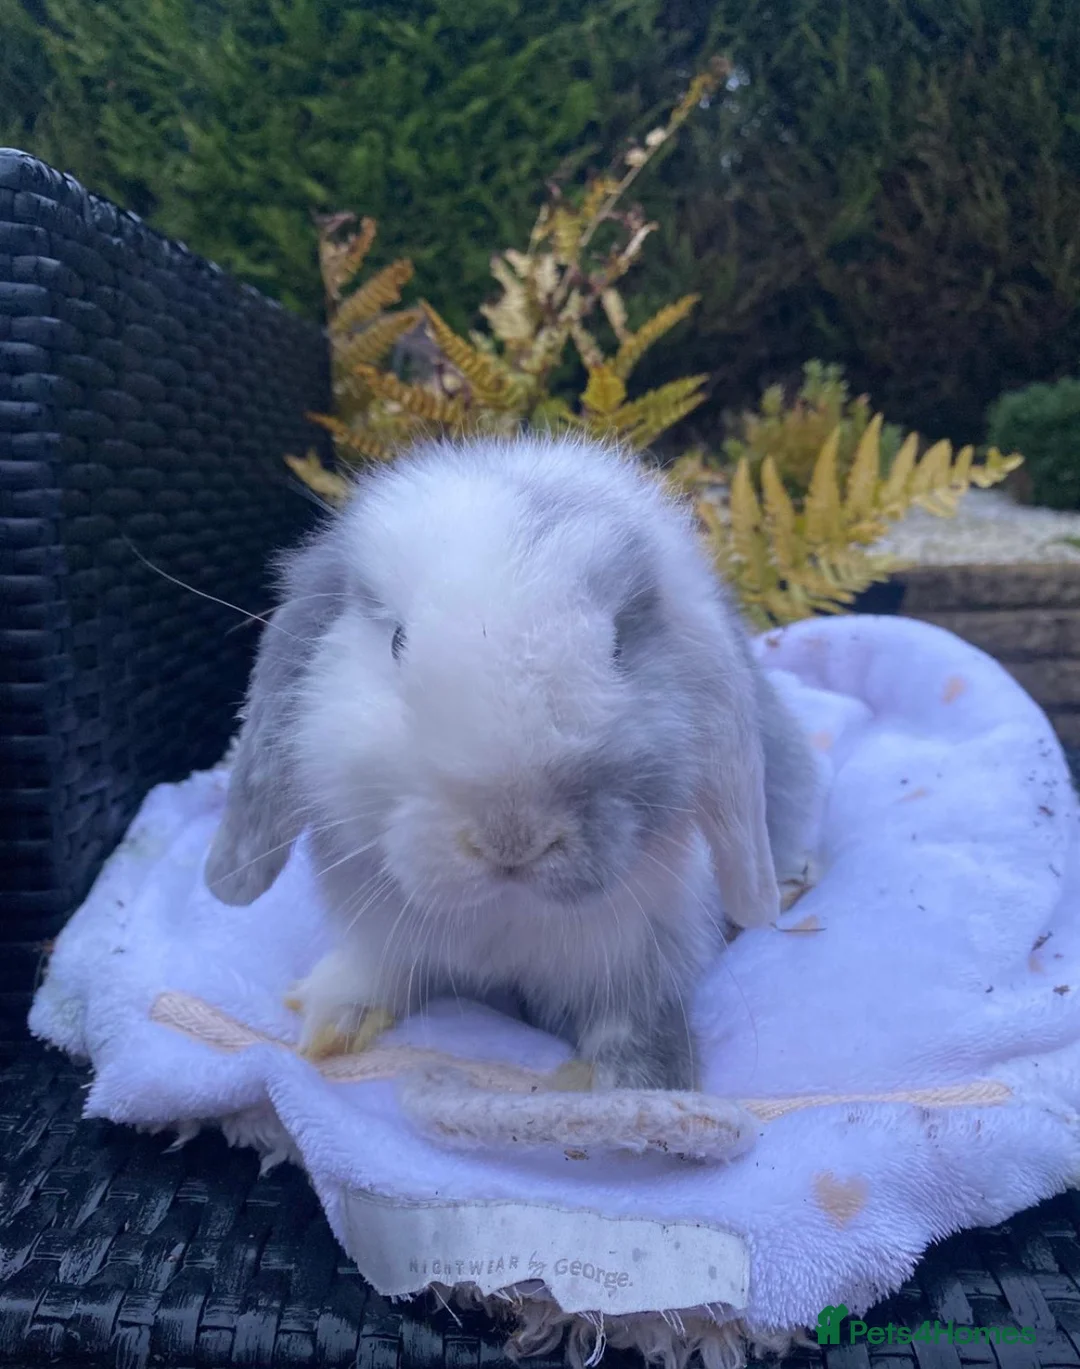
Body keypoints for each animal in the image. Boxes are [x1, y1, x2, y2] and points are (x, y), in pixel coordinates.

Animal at [204, 434, 820, 1090]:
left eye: (616, 648)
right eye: (397, 642)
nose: (512, 840)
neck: (504, 912)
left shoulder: (641, 953)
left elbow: (635, 1024)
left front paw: (640, 1091)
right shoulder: (382, 935)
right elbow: (379, 970)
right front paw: (332, 1023)